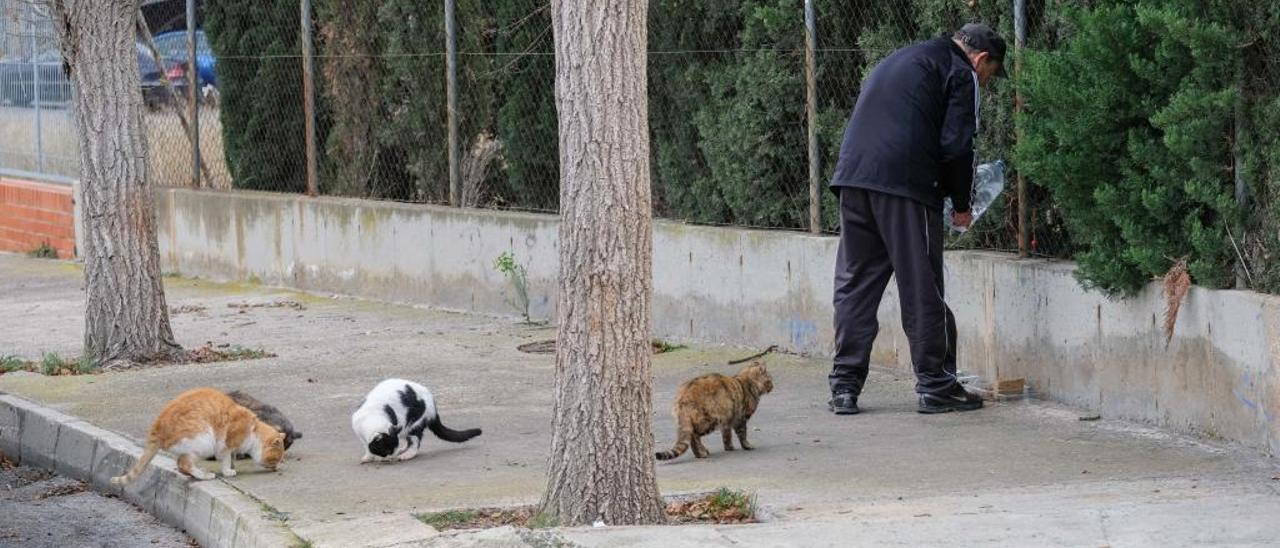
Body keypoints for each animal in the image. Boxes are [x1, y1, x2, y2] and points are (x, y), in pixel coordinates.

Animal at [111, 384, 286, 483]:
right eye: (276, 458)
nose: (276, 468)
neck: (253, 429)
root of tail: (157, 426)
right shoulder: (226, 444)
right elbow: (226, 459)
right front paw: (228, 471)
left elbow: (231, 457)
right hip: (204, 441)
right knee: (184, 464)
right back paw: (204, 475)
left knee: (181, 466)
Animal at [350, 376, 481, 463]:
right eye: (387, 451)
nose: (391, 458)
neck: (372, 416)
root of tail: (433, 404)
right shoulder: (360, 433)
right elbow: (366, 446)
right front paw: (368, 457)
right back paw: (403, 449)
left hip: (413, 424)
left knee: (415, 442)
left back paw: (407, 454)